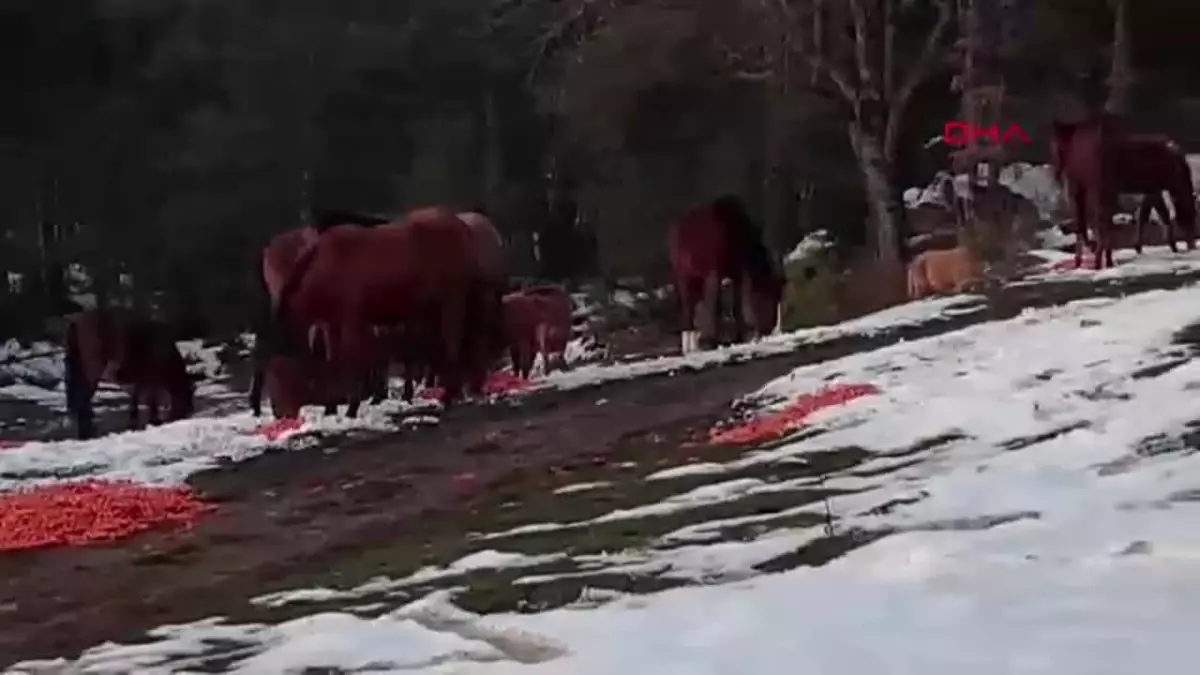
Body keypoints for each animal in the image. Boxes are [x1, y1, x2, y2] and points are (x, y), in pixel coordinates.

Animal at [64, 307, 195, 439]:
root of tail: (75, 322)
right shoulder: (150, 380)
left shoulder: (140, 381)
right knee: (83, 398)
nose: (180, 418)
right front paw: (152, 420)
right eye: (185, 400)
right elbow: (150, 400)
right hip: (91, 370)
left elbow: (136, 400)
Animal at [274, 205, 487, 410]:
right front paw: (333, 406)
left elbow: (353, 359)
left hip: (452, 302)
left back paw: (449, 394)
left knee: (452, 343)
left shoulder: (352, 320)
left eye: (285, 372)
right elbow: (334, 362)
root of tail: (461, 226)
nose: (281, 412)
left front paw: (352, 405)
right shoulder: (332, 324)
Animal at [667, 193, 787, 353]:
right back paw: (691, 345)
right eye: (763, 295)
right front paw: (712, 340)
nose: (768, 329)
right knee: (688, 308)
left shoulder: (736, 274)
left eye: (777, 295)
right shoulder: (714, 274)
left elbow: (736, 305)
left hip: (696, 279)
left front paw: (739, 336)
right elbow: (715, 306)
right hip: (685, 277)